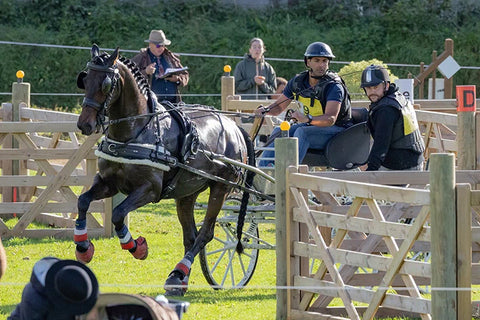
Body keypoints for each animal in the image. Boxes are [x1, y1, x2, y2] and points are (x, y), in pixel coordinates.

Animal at [75, 44, 255, 296]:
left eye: (106, 84)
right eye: (84, 79)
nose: (85, 124)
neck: (137, 131)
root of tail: (235, 128)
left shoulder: (149, 189)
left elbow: (118, 214)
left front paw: (137, 247)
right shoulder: (108, 183)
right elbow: (83, 201)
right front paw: (83, 247)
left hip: (220, 188)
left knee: (205, 233)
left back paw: (180, 271)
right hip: (187, 193)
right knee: (191, 236)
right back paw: (179, 278)